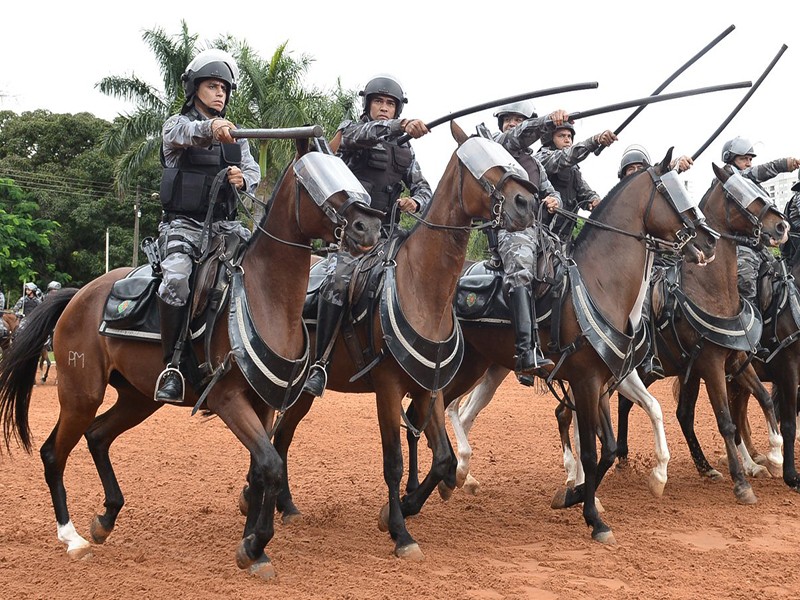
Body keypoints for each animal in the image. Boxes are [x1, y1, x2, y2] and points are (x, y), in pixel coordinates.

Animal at [0, 137, 384, 580]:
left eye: (348, 173)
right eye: (317, 180)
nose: (369, 227)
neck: (265, 297)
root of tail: (78, 296)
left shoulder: (264, 403)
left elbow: (262, 467)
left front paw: (253, 547)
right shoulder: (227, 400)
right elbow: (270, 464)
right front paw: (255, 544)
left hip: (138, 398)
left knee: (97, 436)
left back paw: (106, 518)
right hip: (81, 394)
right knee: (53, 453)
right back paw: (72, 538)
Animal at [266, 119, 540, 560]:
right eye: (487, 163)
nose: (526, 203)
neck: (423, 289)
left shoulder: (431, 387)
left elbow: (443, 459)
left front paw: (408, 507)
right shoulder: (388, 387)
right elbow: (393, 462)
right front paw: (399, 531)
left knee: (283, 435)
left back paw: (286, 505)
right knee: (280, 433)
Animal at [412, 149, 720, 544]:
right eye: (671, 192)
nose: (709, 241)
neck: (600, 284)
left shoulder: (606, 380)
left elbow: (622, 437)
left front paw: (598, 490)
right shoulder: (587, 381)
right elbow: (590, 450)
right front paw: (593, 515)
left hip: (488, 369)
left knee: (454, 413)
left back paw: (458, 477)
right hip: (461, 369)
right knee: (432, 412)